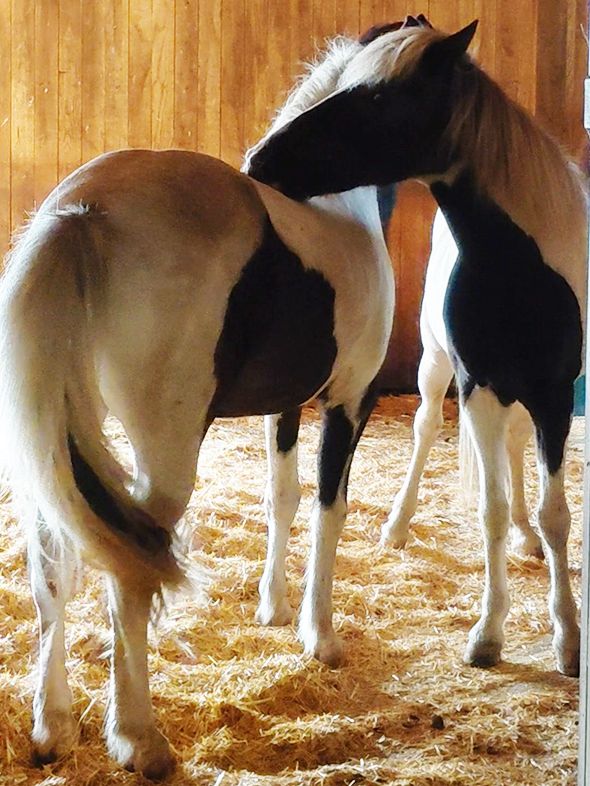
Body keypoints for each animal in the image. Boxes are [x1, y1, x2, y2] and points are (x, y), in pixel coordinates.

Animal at [0, 29, 404, 782]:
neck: (341, 212)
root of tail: (85, 212)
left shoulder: (286, 407)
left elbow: (283, 495)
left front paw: (274, 609)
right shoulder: (349, 399)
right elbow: (328, 508)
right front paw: (321, 638)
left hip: (54, 448)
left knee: (52, 568)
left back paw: (53, 727)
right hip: (162, 458)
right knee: (130, 573)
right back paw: (140, 740)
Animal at [249, 19, 586, 684]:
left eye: (380, 97)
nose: (263, 159)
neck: (520, 268)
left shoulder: (555, 395)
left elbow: (555, 515)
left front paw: (567, 638)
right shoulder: (478, 387)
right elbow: (490, 508)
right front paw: (488, 636)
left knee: (515, 454)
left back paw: (525, 540)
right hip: (437, 371)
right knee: (429, 429)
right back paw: (400, 525)